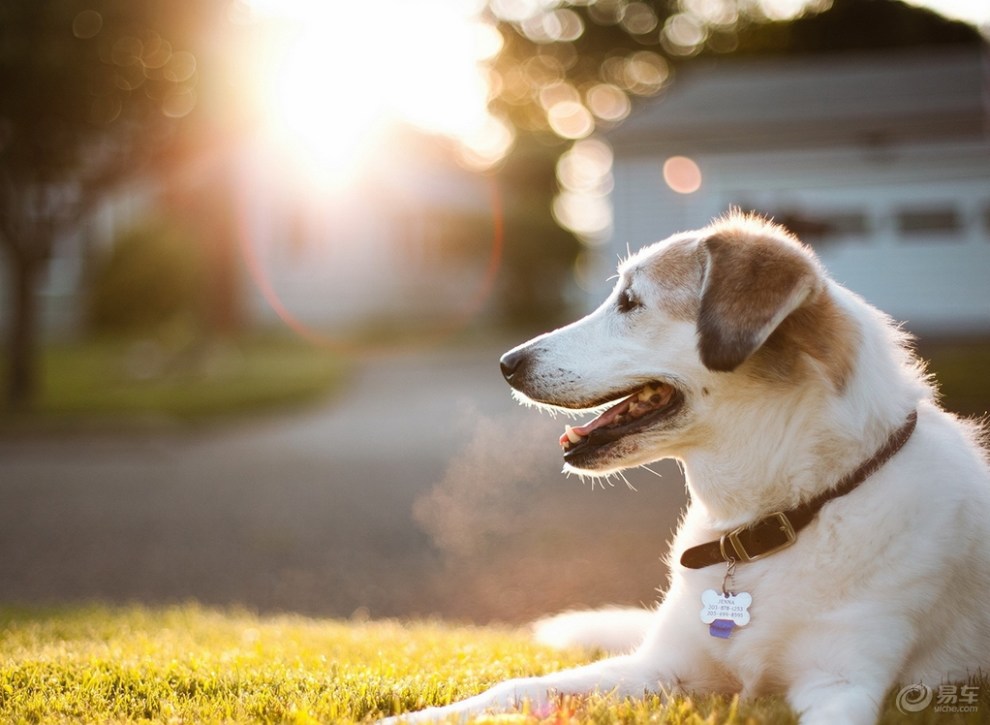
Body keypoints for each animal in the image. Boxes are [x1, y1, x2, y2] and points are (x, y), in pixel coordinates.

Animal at [390, 211, 990, 724]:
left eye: (630, 301)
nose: (507, 363)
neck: (765, 528)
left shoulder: (841, 684)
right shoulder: (660, 667)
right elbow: (519, 687)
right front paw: (416, 717)